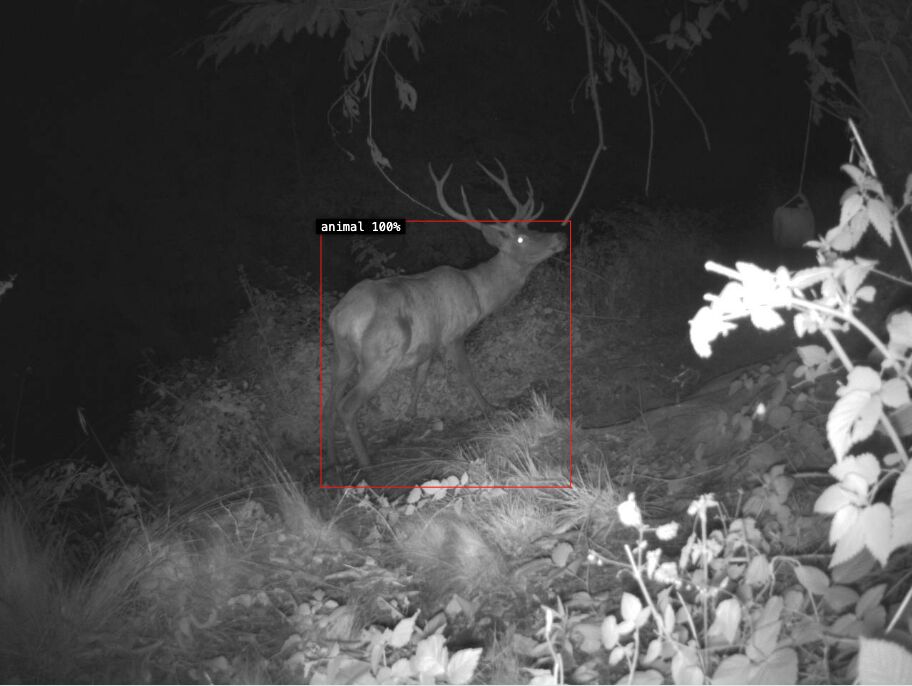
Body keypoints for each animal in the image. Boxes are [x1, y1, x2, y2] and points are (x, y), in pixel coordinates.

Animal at [325, 160, 567, 468]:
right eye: (522, 238)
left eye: (531, 228)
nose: (560, 235)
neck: (480, 294)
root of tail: (340, 317)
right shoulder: (454, 333)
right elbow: (466, 373)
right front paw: (490, 408)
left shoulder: (429, 344)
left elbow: (419, 379)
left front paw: (411, 417)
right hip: (380, 356)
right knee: (347, 405)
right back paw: (367, 463)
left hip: (343, 355)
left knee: (329, 400)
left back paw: (333, 458)